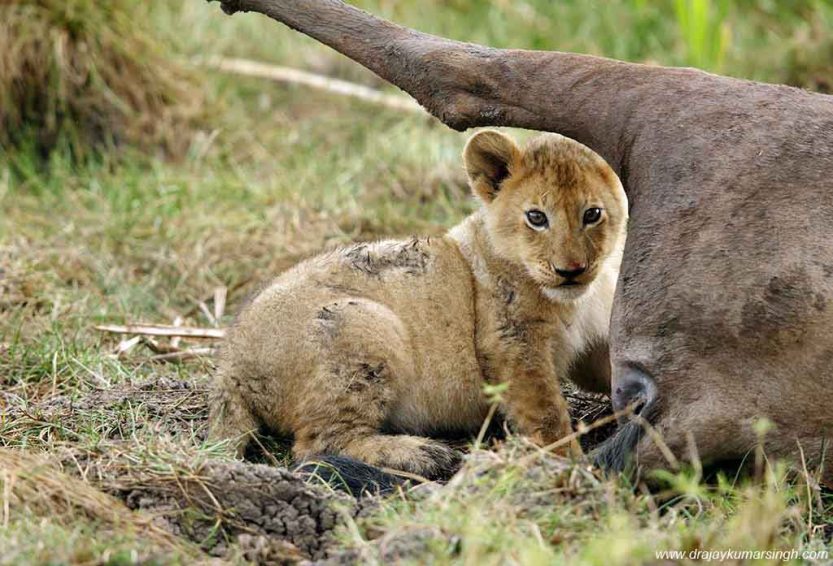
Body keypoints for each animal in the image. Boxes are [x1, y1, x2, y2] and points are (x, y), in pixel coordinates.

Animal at [208, 130, 628, 481]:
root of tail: (229, 364)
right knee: (318, 445)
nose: (570, 270)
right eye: (536, 217)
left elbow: (609, 371)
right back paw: (425, 455)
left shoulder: (590, 344)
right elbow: (546, 414)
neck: (577, 300)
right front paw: (571, 467)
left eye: (592, 214)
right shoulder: (512, 344)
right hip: (364, 323)